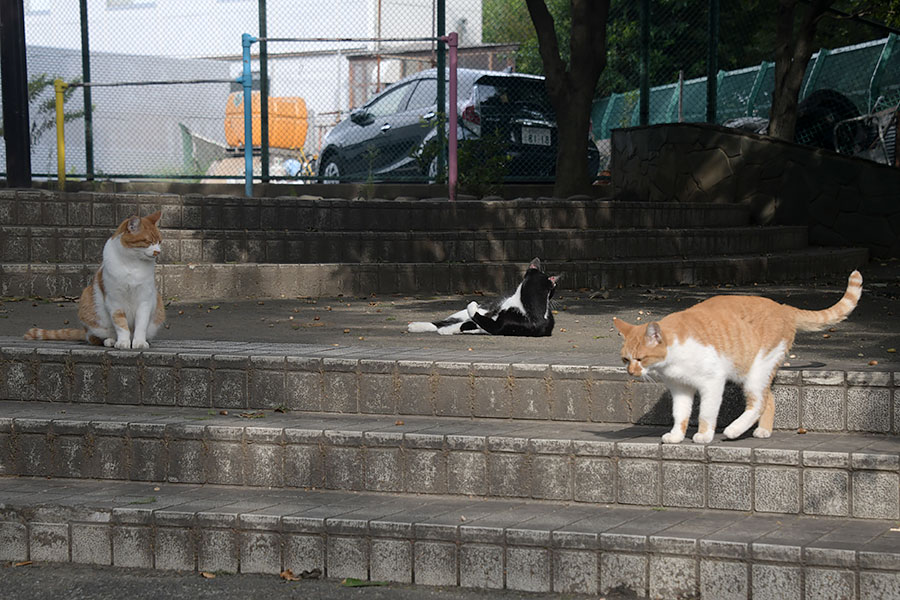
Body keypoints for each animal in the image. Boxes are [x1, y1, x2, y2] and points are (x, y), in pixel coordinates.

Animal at [25, 212, 167, 350]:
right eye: (148, 241)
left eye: (159, 242)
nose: (158, 252)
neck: (132, 265)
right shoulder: (114, 301)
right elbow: (121, 325)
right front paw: (123, 342)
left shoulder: (145, 300)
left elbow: (141, 324)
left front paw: (140, 342)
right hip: (89, 304)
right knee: (93, 337)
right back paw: (110, 340)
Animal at [616, 272, 860, 446]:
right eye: (625, 360)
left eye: (641, 359)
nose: (631, 372)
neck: (672, 360)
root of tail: (783, 308)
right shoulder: (680, 388)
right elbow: (680, 414)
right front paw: (676, 435)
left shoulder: (712, 382)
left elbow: (706, 413)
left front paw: (704, 435)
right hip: (749, 372)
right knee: (768, 398)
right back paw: (763, 430)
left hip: (757, 369)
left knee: (758, 402)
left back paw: (734, 430)